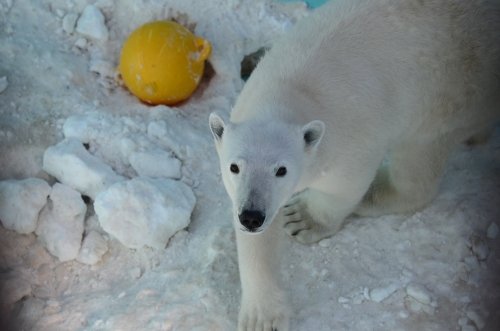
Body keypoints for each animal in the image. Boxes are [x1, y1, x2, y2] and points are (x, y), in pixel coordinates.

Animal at [209, 1, 498, 330]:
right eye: (234, 167)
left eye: (281, 170)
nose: (252, 215)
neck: (295, 89)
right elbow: (256, 241)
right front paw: (262, 315)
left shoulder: (350, 137)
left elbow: (342, 186)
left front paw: (301, 218)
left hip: (451, 93)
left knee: (419, 156)